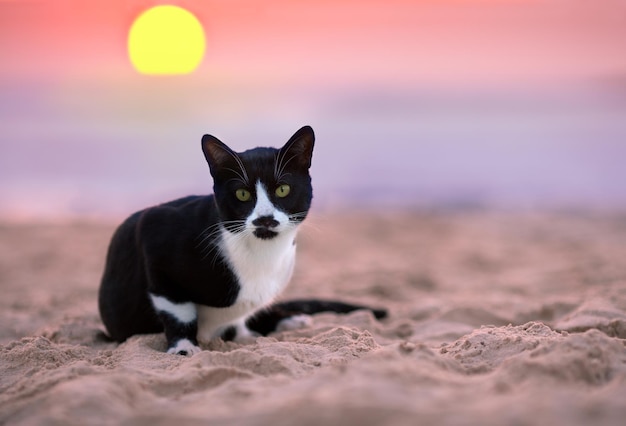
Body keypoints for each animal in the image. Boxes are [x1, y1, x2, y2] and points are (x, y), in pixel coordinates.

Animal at [98, 126, 382, 356]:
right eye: (243, 194)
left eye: (282, 189)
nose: (265, 218)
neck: (260, 253)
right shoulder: (155, 231)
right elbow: (177, 309)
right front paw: (183, 347)